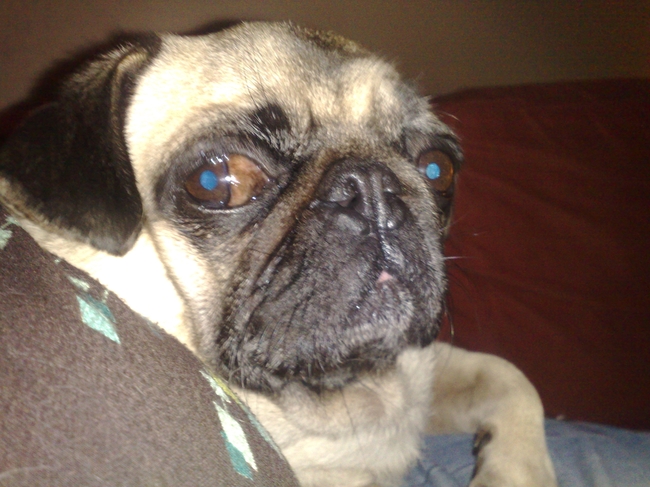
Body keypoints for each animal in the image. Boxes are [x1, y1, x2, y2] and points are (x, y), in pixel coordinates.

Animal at [0, 22, 557, 487]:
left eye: (438, 169)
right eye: (216, 181)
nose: (373, 188)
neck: (338, 392)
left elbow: (511, 377)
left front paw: (515, 473)